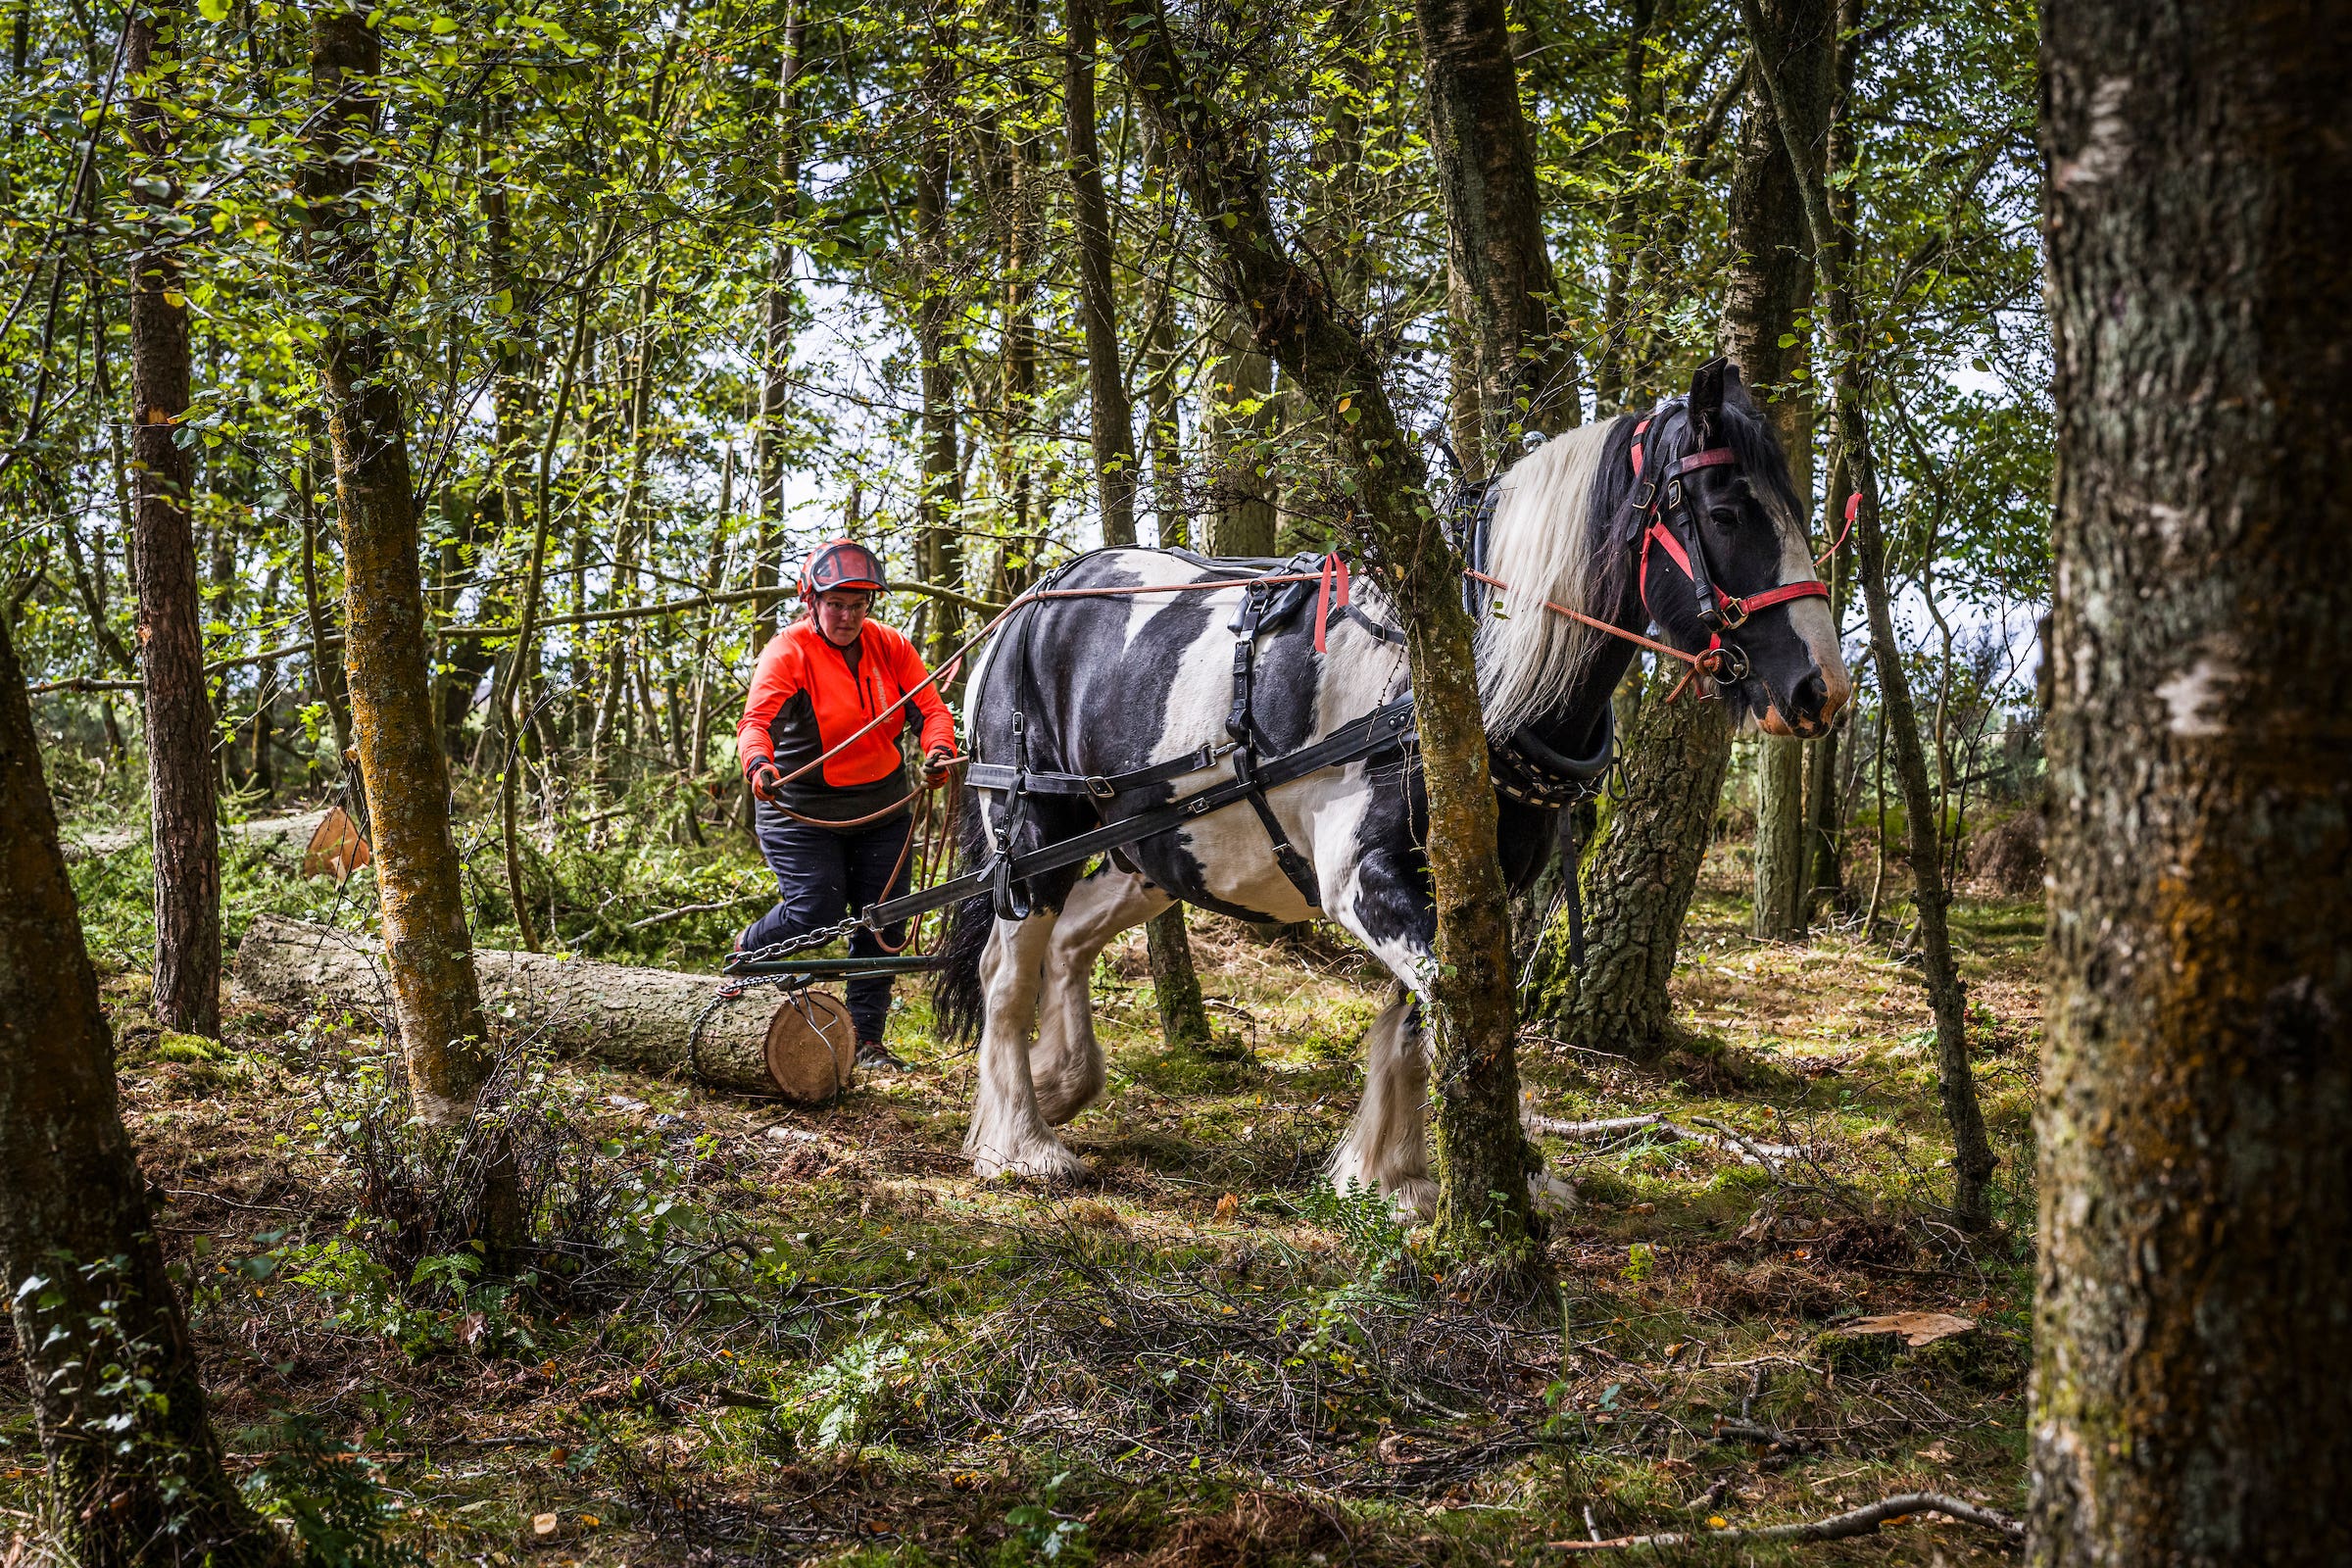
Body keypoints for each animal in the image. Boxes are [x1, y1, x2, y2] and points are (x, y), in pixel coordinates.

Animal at [926, 360, 1843, 1212]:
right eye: (1726, 514)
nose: (1820, 690)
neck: (1463, 672)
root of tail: (1027, 604)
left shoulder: (1471, 882)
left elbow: (1426, 1015)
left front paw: (1394, 1172)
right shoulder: (1364, 876)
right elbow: (1455, 1008)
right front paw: (1478, 1168)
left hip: (1154, 849)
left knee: (1070, 943)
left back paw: (1059, 1084)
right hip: (1031, 829)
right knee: (1007, 970)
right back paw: (1020, 1142)